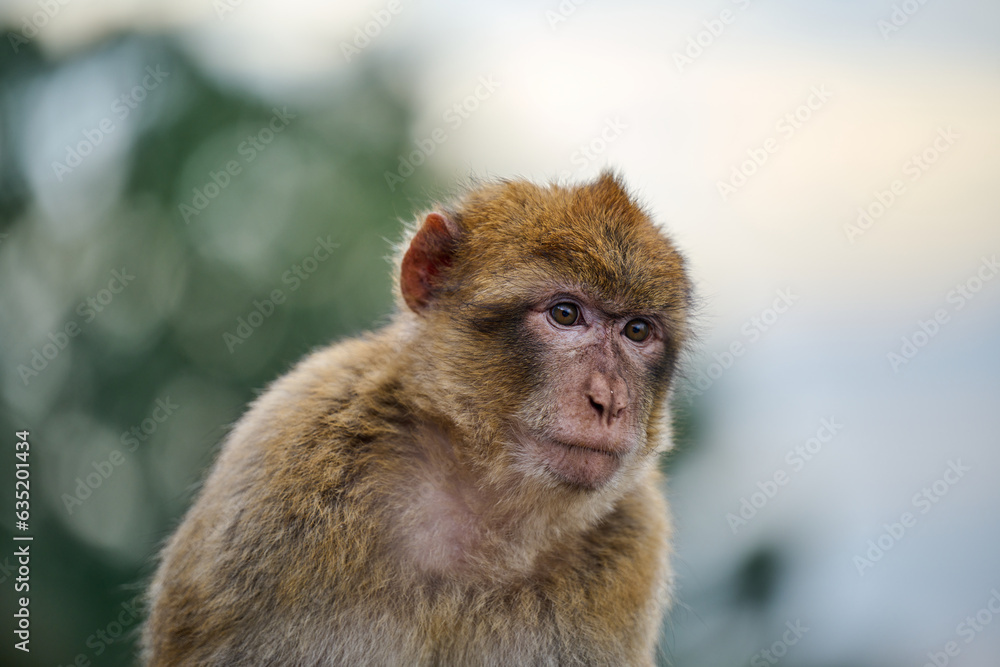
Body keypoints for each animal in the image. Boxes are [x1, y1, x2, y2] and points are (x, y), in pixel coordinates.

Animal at [142, 171, 692, 666]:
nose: (610, 401)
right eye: (565, 314)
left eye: (637, 330)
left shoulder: (633, 536)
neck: (480, 514)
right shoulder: (280, 478)